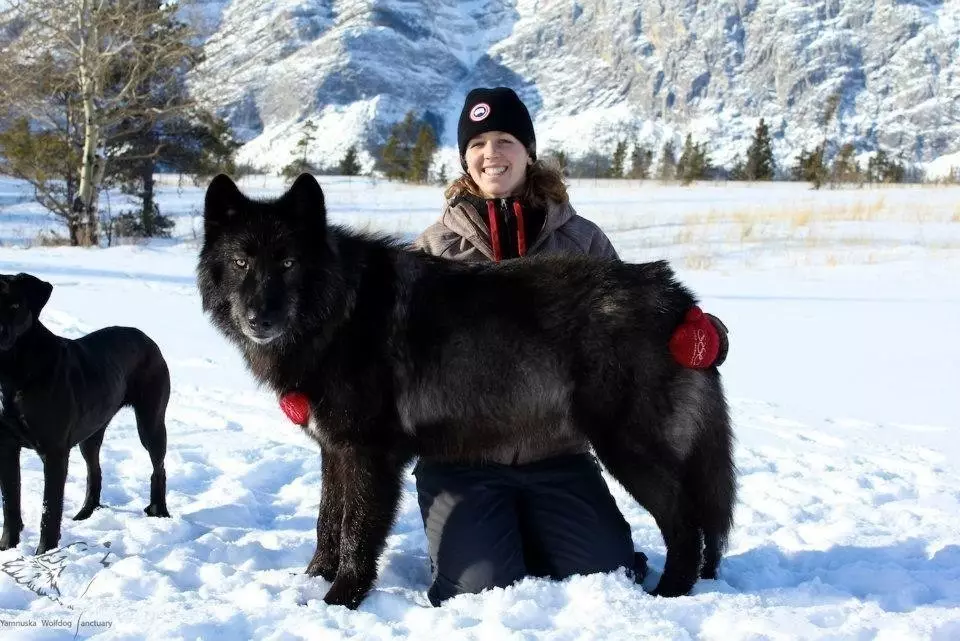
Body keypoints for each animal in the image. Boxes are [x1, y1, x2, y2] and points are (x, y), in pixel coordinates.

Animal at [0, 272, 171, 552]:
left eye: (15, 305)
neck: (12, 373)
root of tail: (146, 338)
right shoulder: (6, 446)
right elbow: (10, 502)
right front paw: (7, 548)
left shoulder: (54, 451)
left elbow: (50, 509)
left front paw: (44, 552)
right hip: (91, 432)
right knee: (95, 471)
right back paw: (85, 513)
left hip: (151, 422)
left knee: (159, 468)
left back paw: (160, 511)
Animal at [195, 172, 736, 608]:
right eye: (241, 262)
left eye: (288, 263)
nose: (258, 319)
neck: (338, 313)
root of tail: (680, 301)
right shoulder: (335, 449)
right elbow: (328, 522)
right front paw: (313, 580)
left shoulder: (369, 454)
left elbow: (356, 534)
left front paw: (341, 600)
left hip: (629, 451)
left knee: (687, 525)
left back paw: (668, 595)